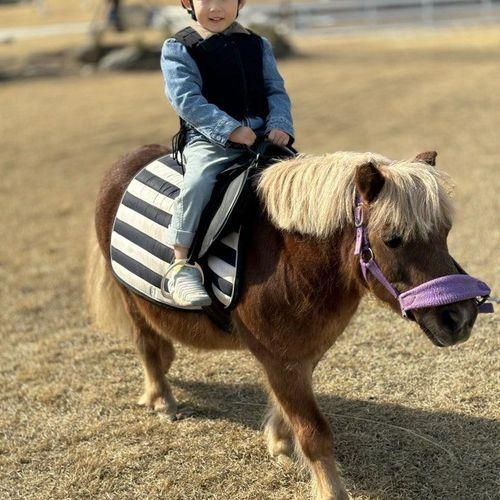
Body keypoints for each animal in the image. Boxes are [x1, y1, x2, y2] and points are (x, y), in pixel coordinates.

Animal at [87, 146, 480, 500]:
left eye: (445, 232)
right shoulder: (280, 358)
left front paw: (278, 442)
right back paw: (162, 399)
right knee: (147, 345)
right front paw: (330, 490)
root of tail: (124, 163)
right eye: (392, 240)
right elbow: (314, 432)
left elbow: (287, 408)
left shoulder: (303, 353)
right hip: (131, 298)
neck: (292, 261)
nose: (460, 317)